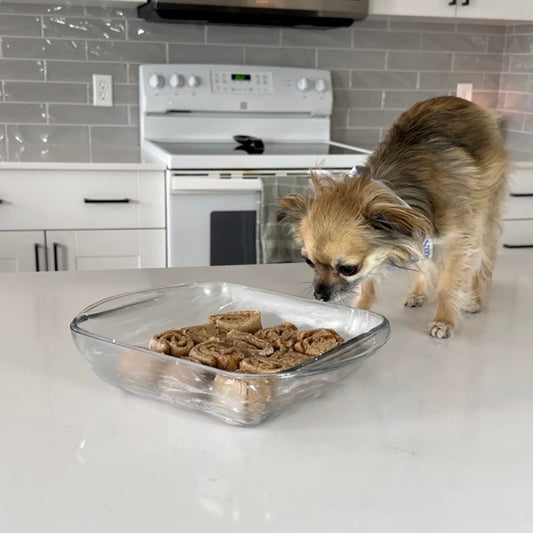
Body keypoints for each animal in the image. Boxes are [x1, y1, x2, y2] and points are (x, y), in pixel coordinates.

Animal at [278, 95, 508, 336]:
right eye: (309, 262)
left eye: (348, 269)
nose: (319, 296)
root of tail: (463, 101)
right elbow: (367, 285)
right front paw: (360, 314)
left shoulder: (457, 245)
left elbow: (448, 287)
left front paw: (444, 321)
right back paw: (419, 293)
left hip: (485, 221)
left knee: (484, 262)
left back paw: (474, 299)